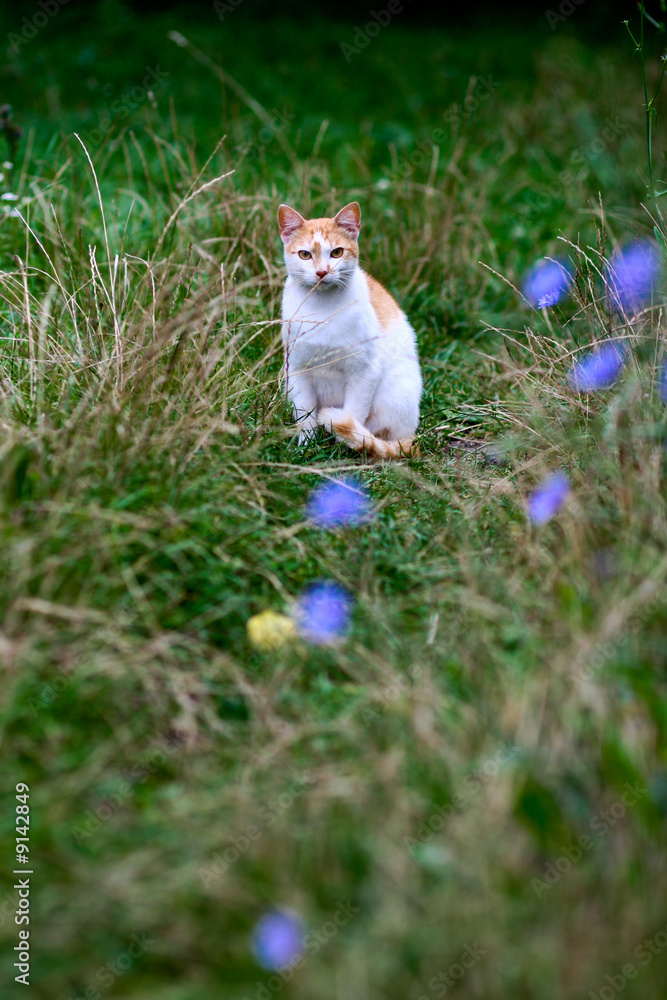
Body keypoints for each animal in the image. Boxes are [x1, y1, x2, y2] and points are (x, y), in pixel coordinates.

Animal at [278, 203, 422, 460]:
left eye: (337, 252)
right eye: (305, 254)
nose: (322, 272)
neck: (323, 308)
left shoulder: (364, 372)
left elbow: (353, 415)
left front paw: (345, 448)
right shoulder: (297, 370)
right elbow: (305, 416)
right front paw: (305, 448)